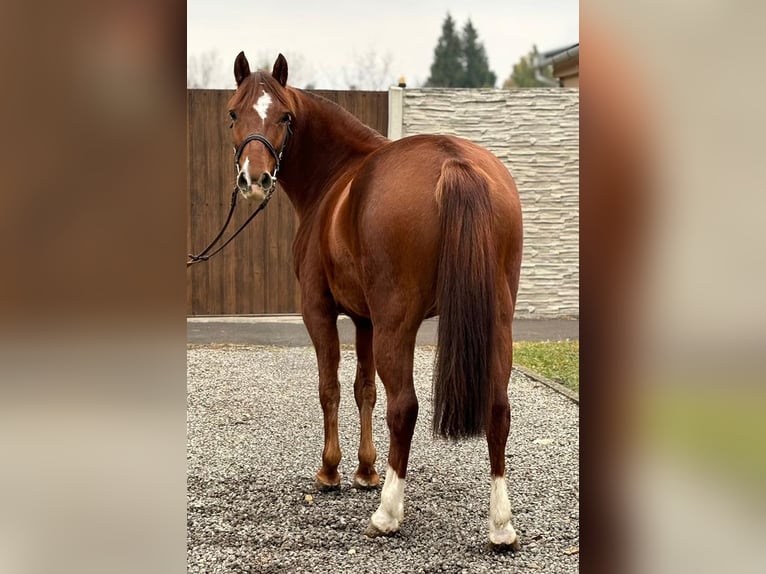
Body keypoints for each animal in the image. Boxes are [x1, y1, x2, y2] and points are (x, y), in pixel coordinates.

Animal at [228, 53, 524, 548]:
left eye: (284, 116)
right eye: (234, 113)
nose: (255, 178)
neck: (336, 178)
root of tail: (453, 161)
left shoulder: (320, 312)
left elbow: (330, 387)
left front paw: (330, 472)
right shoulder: (364, 319)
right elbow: (362, 389)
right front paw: (365, 471)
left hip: (396, 324)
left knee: (403, 407)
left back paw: (387, 514)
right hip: (497, 319)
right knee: (497, 408)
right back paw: (500, 526)